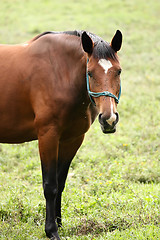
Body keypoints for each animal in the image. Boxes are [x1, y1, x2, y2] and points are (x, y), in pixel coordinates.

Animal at [0, 29, 122, 239]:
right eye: (89, 73)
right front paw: (51, 230)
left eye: (119, 71)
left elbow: (61, 182)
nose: (109, 119)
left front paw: (59, 223)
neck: (60, 73)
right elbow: (50, 185)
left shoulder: (72, 139)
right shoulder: (48, 136)